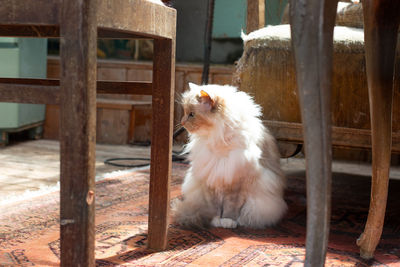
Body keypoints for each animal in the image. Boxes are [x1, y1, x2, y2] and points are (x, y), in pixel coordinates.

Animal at [173, 82, 288, 229]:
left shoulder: (236, 182)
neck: (217, 140)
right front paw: (216, 221)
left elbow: (231, 207)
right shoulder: (211, 178)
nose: (182, 122)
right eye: (185, 113)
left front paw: (228, 221)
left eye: (191, 114)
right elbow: (215, 207)